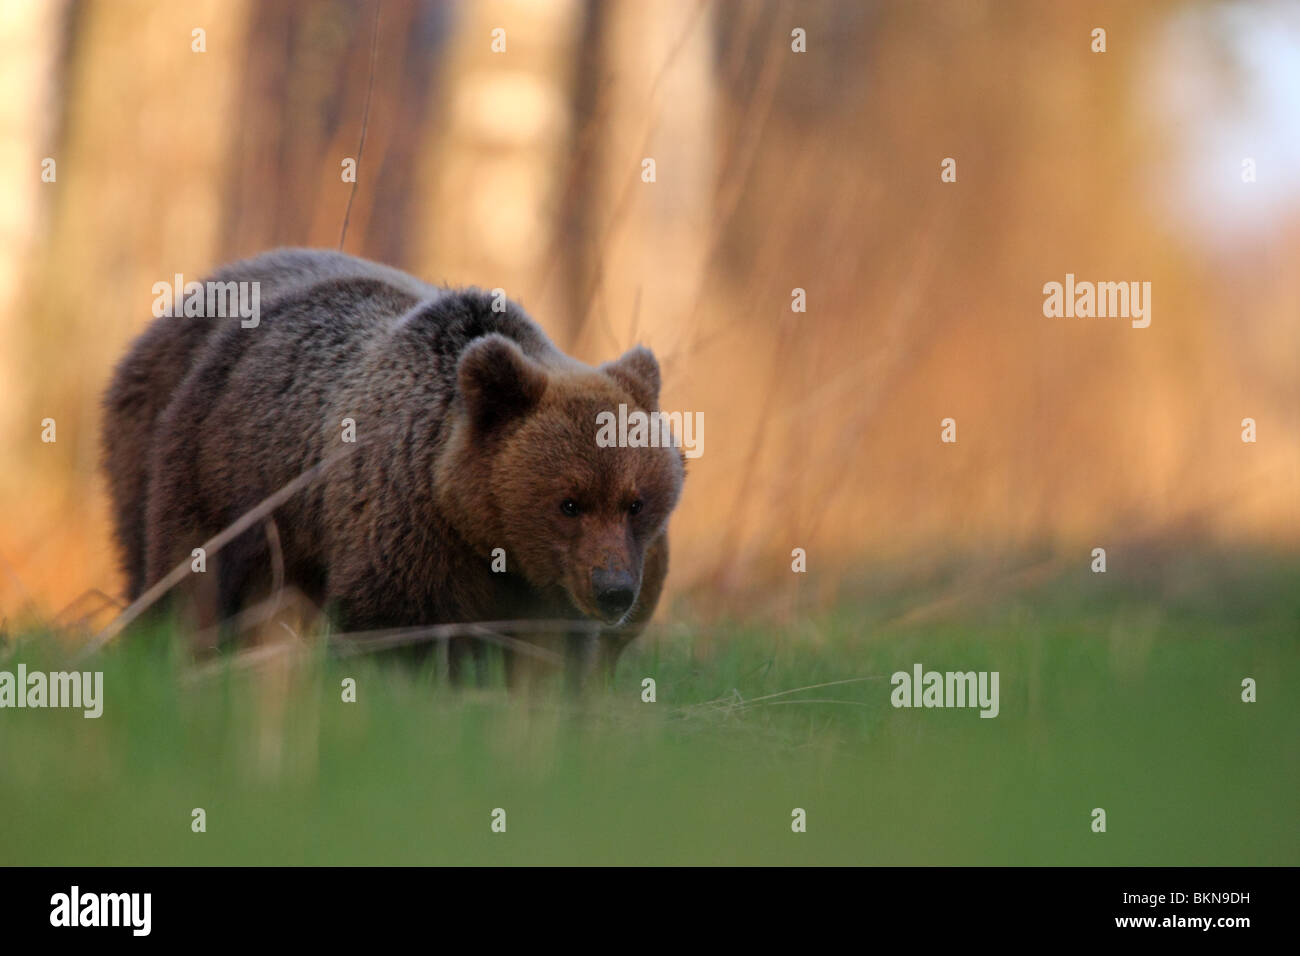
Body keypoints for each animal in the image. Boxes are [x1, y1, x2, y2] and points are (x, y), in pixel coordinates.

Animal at [101, 248, 685, 684]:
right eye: (569, 502)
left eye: (636, 503)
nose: (614, 590)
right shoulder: (403, 524)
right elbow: (396, 627)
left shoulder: (543, 587)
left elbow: (551, 652)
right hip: (219, 469)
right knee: (186, 575)